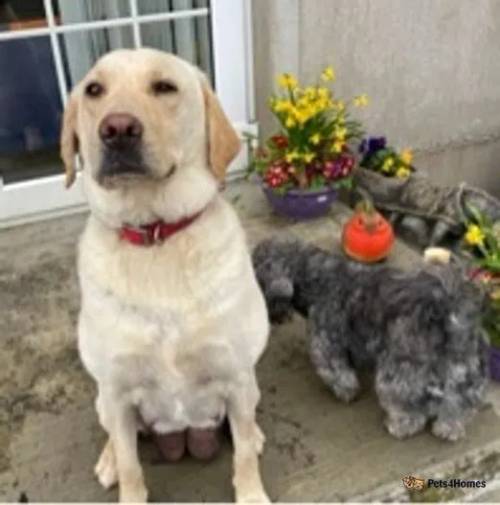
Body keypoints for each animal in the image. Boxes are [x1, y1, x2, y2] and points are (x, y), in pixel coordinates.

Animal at [61, 46, 270, 500]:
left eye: (164, 87)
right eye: (94, 90)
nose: (117, 129)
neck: (156, 236)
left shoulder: (236, 376)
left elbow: (244, 455)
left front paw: (251, 494)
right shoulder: (118, 392)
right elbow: (131, 465)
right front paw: (126, 484)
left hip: (251, 386)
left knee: (244, 426)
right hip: (103, 400)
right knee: (115, 436)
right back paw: (108, 460)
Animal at [252, 238, 486, 440]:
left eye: (257, 278)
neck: (319, 278)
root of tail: (446, 312)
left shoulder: (326, 345)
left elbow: (338, 374)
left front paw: (346, 392)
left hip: (399, 373)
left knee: (409, 407)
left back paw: (401, 425)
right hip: (461, 372)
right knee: (457, 403)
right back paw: (449, 427)